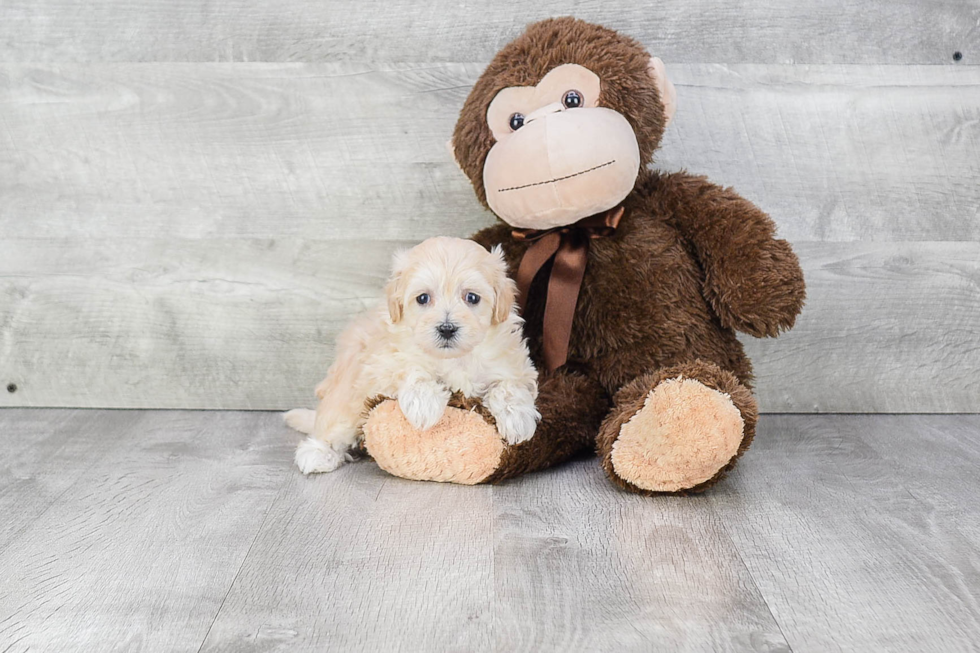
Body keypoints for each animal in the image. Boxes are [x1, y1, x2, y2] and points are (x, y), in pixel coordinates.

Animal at [284, 237, 544, 472]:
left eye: (472, 297)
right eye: (423, 298)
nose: (447, 328)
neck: (453, 359)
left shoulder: (515, 364)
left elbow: (510, 386)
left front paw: (516, 419)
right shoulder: (379, 365)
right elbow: (410, 369)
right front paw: (424, 406)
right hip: (347, 393)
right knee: (334, 422)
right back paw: (318, 453)